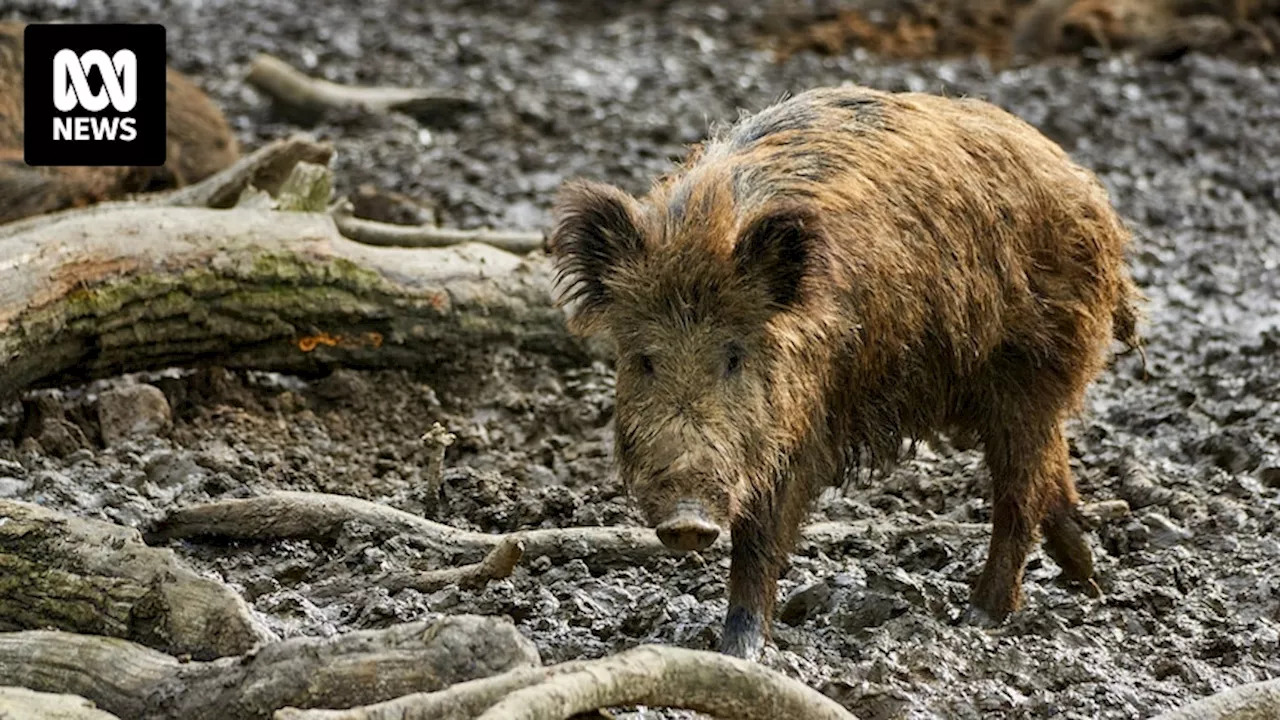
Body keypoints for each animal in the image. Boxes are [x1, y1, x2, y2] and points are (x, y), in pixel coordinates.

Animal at [545, 83, 1146, 655]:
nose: (686, 522)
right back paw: (1086, 579)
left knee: (1020, 491)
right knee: (1052, 467)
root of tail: (1087, 191)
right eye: (645, 359)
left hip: (1030, 366)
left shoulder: (806, 419)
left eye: (734, 356)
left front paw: (739, 651)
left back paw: (981, 616)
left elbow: (763, 533)